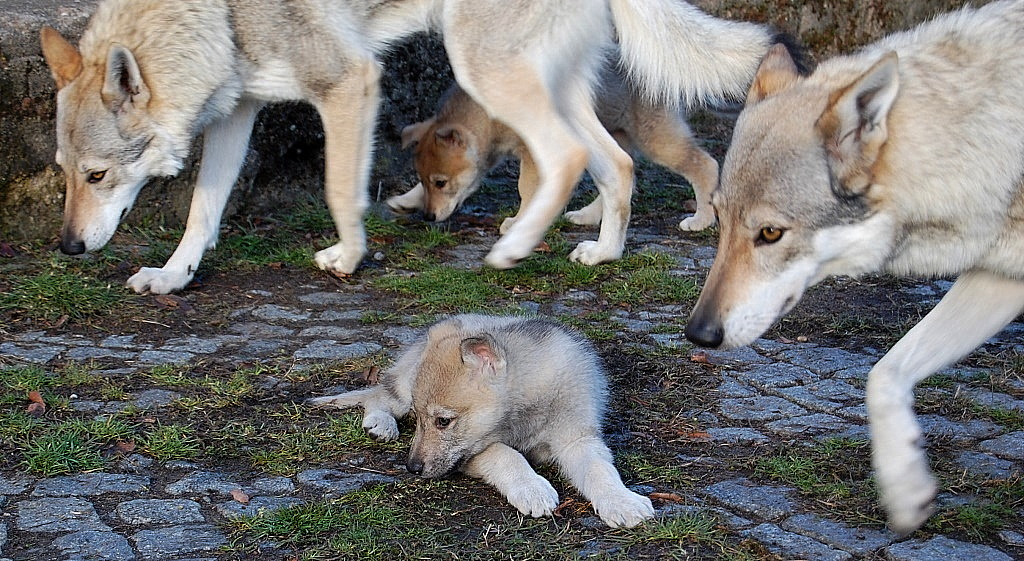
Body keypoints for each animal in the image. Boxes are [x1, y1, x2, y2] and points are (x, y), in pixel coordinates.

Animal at [305, 313, 655, 528]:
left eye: (443, 421)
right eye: (421, 419)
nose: (412, 468)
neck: (526, 409)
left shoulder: (578, 438)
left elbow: (600, 471)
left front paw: (623, 502)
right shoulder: (471, 452)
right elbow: (506, 454)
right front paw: (532, 488)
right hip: (403, 388)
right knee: (380, 394)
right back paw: (381, 423)